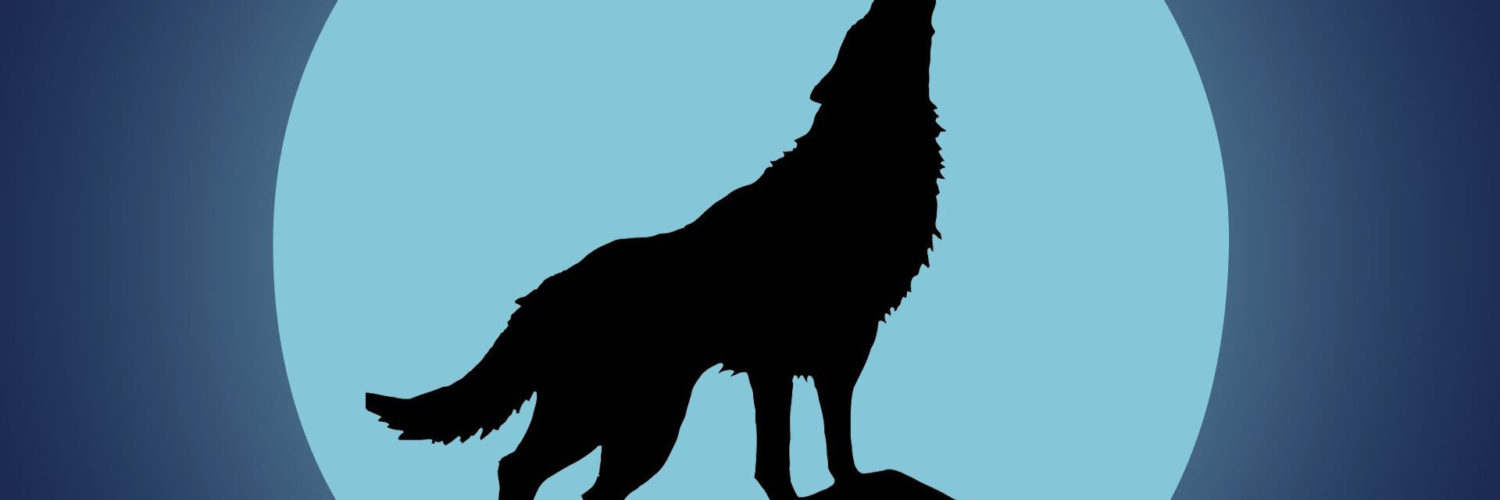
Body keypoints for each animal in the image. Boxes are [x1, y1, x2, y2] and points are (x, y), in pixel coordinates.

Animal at [366, 1, 943, 499]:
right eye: (864, 27)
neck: (852, 164)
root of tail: (539, 296)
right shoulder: (797, 356)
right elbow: (782, 455)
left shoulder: (829, 354)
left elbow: (822, 447)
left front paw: (845, 482)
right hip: (614, 417)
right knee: (519, 468)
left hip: (633, 425)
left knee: (578, 486)